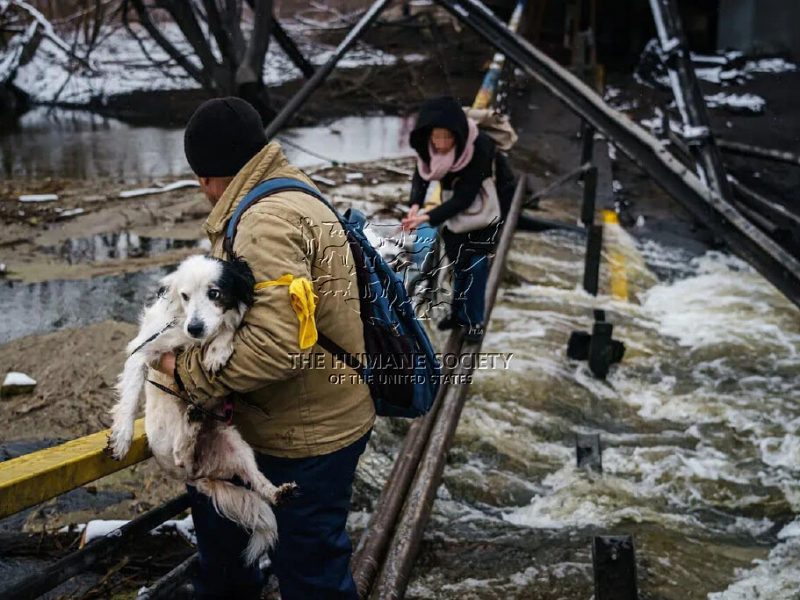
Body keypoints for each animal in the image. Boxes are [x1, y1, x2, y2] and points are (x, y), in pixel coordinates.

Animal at [106, 255, 294, 564]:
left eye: (214, 293)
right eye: (184, 296)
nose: (194, 327)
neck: (189, 339)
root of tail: (199, 474)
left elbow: (227, 327)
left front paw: (218, 350)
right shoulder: (143, 350)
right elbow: (130, 396)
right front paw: (121, 438)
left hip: (237, 445)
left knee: (257, 482)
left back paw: (279, 492)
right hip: (171, 448)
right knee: (180, 452)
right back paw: (191, 423)